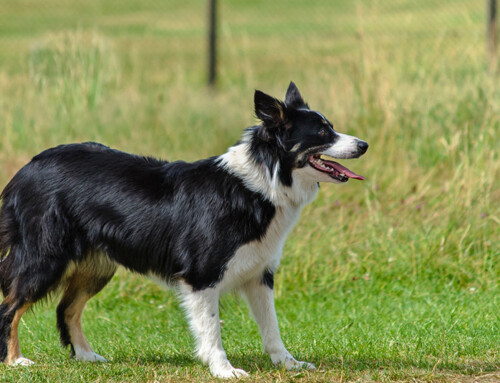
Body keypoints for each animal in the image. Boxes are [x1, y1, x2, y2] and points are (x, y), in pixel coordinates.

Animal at [0, 83, 368, 378]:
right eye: (322, 134)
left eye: (331, 128)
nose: (364, 144)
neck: (264, 181)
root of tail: (28, 167)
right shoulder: (202, 276)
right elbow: (211, 329)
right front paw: (224, 369)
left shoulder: (259, 274)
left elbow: (272, 328)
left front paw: (288, 364)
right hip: (45, 257)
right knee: (11, 307)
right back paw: (15, 361)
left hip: (97, 265)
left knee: (67, 309)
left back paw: (87, 356)